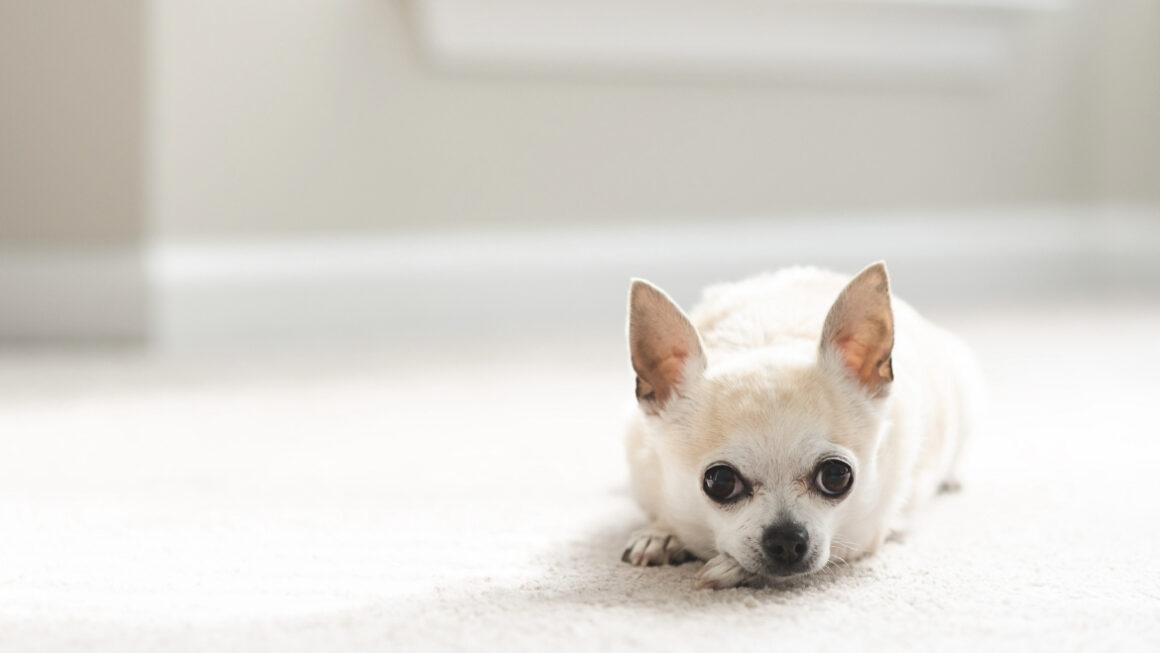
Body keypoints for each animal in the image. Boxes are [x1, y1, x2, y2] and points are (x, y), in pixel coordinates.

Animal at [621, 263, 983, 589]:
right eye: (720, 482)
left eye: (836, 476)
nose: (786, 540)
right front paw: (661, 533)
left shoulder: (866, 531)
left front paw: (730, 567)